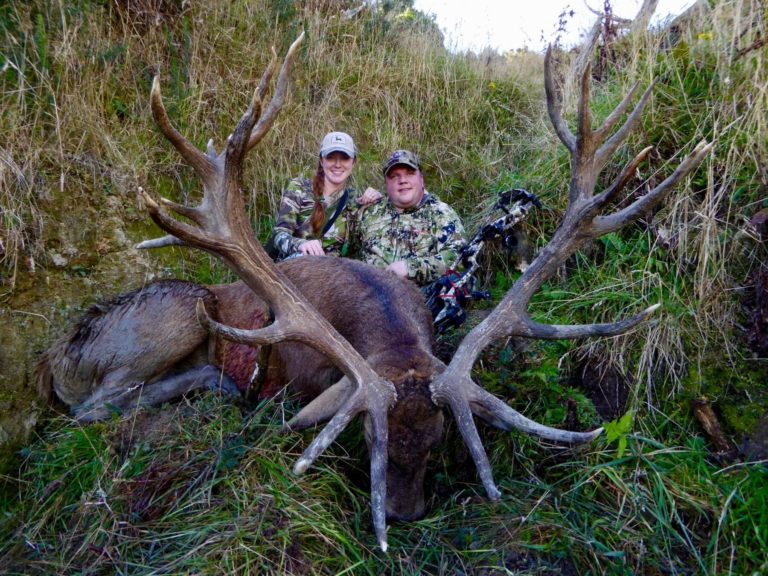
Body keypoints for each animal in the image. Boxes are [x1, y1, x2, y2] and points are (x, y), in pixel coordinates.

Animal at [36, 32, 711, 551]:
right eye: (364, 437)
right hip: (176, 312)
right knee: (94, 407)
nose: (404, 515)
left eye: (440, 440)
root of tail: (55, 357)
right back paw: (211, 384)